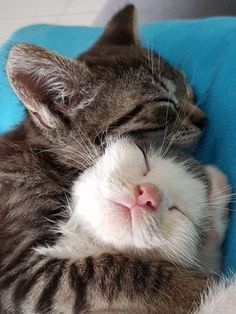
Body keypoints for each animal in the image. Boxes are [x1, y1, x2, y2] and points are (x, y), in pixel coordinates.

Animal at [0, 4, 210, 314]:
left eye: (191, 94)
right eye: (164, 104)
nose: (205, 119)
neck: (46, 161)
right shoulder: (16, 270)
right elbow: (117, 270)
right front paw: (198, 286)